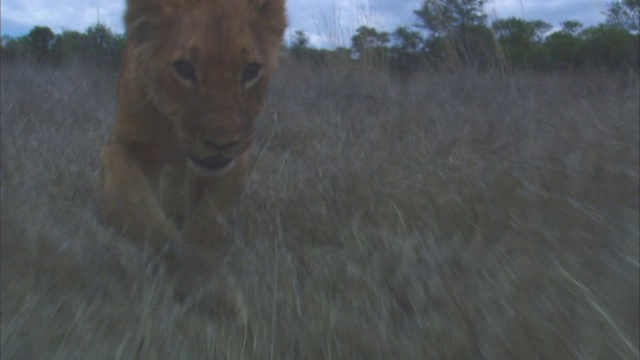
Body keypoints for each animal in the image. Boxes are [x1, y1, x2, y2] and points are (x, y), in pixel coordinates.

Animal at [99, 0, 284, 262]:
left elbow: (208, 219)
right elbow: (136, 207)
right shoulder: (122, 142)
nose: (222, 144)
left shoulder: (236, 160)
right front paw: (170, 251)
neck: (173, 131)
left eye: (251, 70)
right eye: (184, 68)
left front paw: (196, 258)